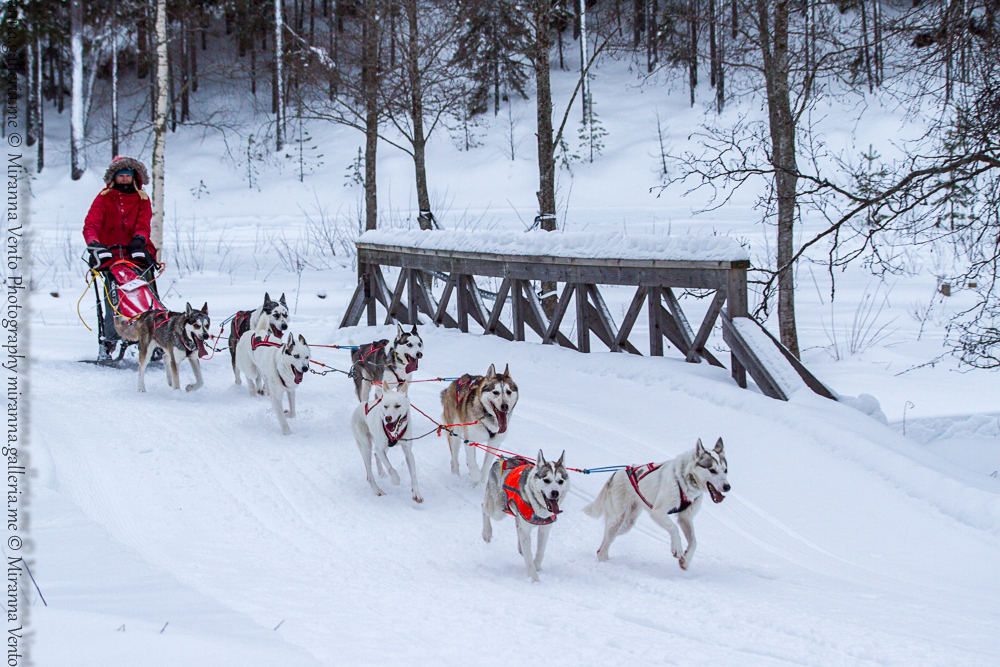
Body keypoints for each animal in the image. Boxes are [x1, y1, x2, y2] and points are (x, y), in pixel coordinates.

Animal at [482, 452, 572, 580]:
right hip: (497, 510)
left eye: (560, 481)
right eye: (546, 480)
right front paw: (533, 578)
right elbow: (528, 556)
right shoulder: (524, 528)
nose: (555, 492)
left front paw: (537, 566)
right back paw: (487, 533)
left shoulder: (545, 528)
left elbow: (540, 552)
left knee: (516, 524)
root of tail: (500, 461)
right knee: (484, 507)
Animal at [584, 438, 732, 568]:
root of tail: (615, 474)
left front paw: (686, 560)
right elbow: (673, 527)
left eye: (725, 470)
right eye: (712, 470)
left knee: (605, 542)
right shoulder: (658, 512)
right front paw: (677, 548)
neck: (685, 480)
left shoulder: (685, 518)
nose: (727, 487)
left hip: (626, 524)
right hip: (618, 520)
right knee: (602, 548)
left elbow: (694, 542)